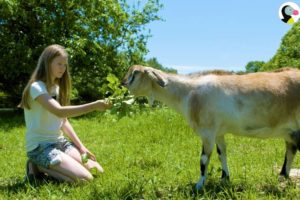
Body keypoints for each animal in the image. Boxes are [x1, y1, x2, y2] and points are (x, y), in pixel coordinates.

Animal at [122, 65, 300, 189]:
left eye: (135, 73)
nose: (122, 83)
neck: (187, 93)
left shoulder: (207, 131)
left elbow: (204, 159)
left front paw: (199, 185)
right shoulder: (218, 132)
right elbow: (222, 154)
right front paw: (224, 179)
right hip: (290, 131)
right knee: (290, 150)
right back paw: (282, 177)